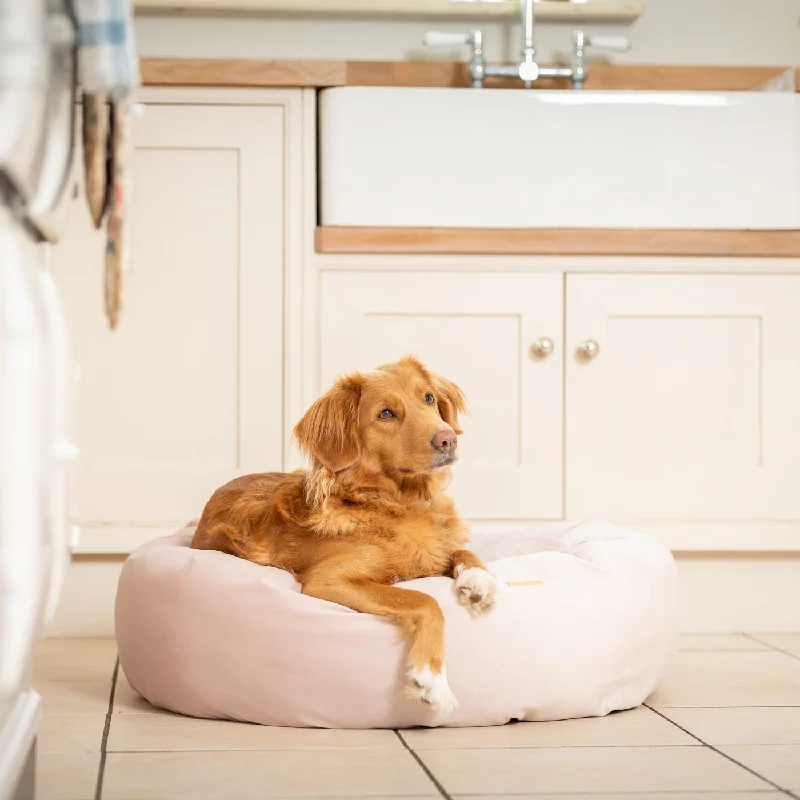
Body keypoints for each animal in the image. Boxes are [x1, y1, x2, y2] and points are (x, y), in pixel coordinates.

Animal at [191, 356, 504, 712]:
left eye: (428, 398)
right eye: (386, 413)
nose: (448, 439)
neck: (400, 502)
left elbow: (462, 551)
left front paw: (479, 580)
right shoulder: (328, 580)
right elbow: (424, 599)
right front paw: (432, 677)